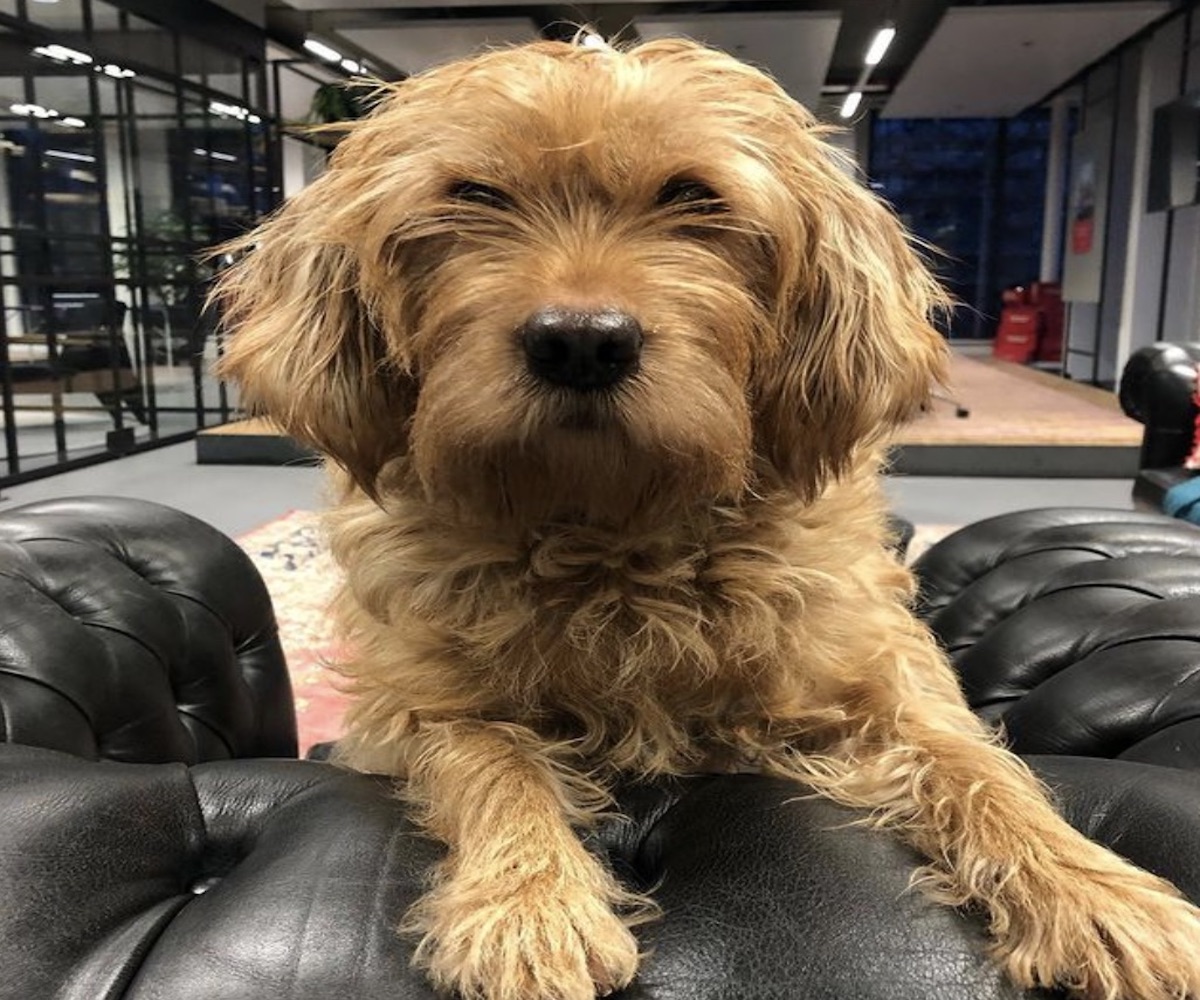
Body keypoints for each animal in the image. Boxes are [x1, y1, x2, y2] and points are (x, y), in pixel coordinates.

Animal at [216, 37, 1200, 998]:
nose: (582, 341)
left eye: (693, 195)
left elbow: (978, 765)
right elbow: (492, 760)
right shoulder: (413, 708)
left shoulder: (882, 684)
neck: (614, 531)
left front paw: (1096, 892)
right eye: (475, 195)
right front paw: (528, 905)